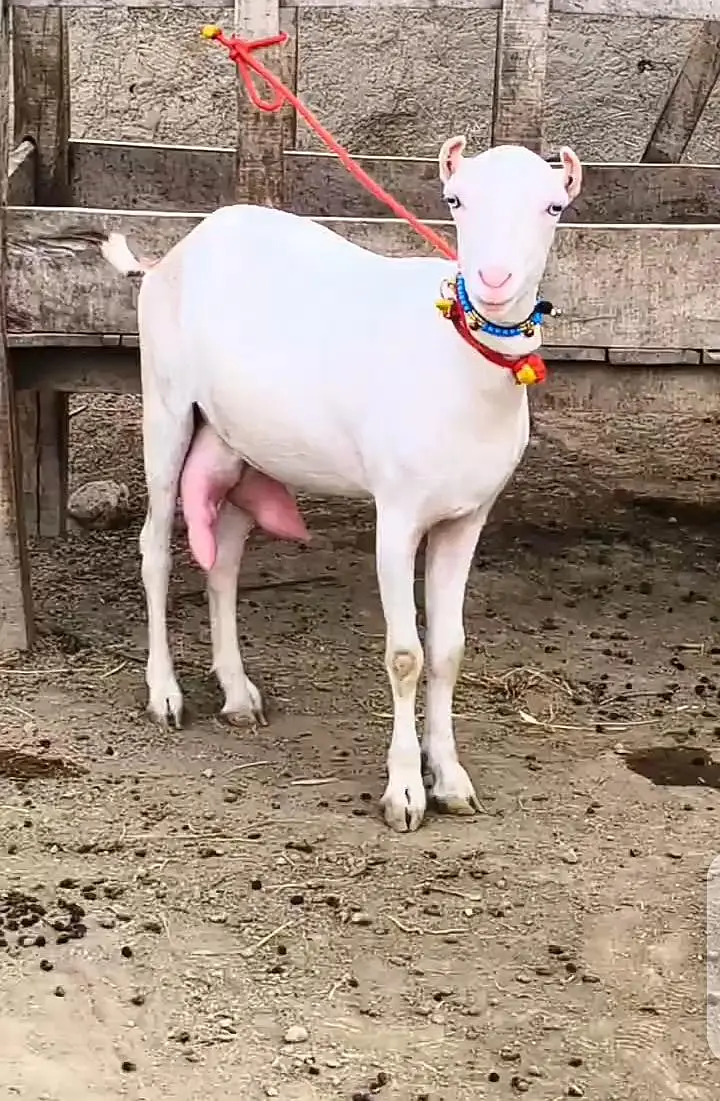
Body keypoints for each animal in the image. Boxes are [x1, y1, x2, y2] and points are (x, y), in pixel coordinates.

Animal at [102, 138, 582, 832]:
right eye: (455, 200)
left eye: (553, 206)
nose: (494, 281)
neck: (457, 364)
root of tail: (171, 256)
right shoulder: (398, 511)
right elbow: (405, 655)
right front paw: (404, 792)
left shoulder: (468, 517)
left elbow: (448, 650)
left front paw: (451, 779)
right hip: (164, 405)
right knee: (155, 549)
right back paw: (165, 693)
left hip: (238, 442)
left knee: (224, 557)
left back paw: (237, 693)